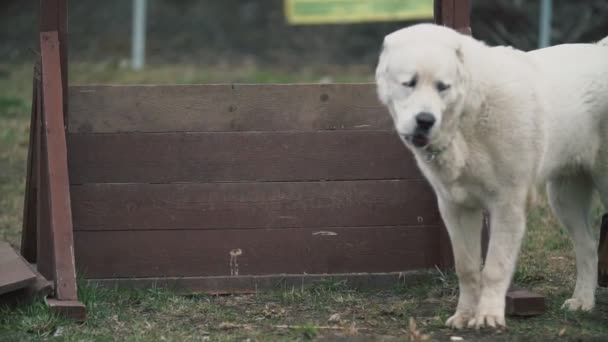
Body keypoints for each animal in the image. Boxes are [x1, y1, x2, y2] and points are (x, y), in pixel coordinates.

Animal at [376, 24, 608, 328]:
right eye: (409, 83)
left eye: (442, 87)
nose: (425, 120)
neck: (468, 115)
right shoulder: (456, 208)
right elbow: (467, 268)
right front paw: (464, 315)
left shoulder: (507, 204)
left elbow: (495, 267)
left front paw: (488, 317)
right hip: (564, 199)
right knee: (587, 246)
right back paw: (582, 301)